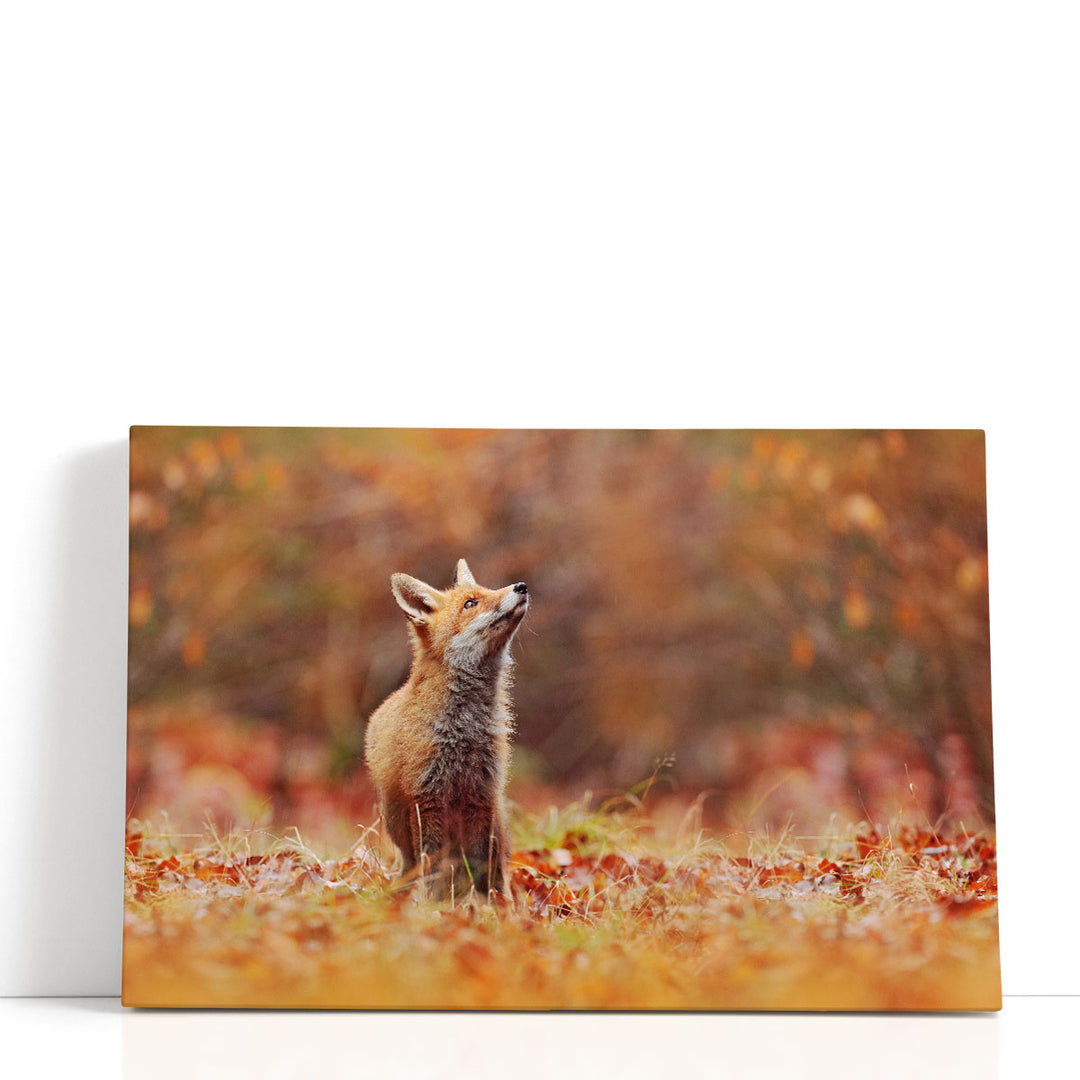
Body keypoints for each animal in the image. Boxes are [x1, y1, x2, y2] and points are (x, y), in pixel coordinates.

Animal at [364, 558, 529, 900]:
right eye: (470, 604)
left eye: (488, 590)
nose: (521, 586)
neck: (463, 732)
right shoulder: (426, 800)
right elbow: (432, 867)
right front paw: (433, 906)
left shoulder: (482, 796)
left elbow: (482, 866)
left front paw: (486, 907)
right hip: (397, 821)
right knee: (414, 864)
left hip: (498, 820)